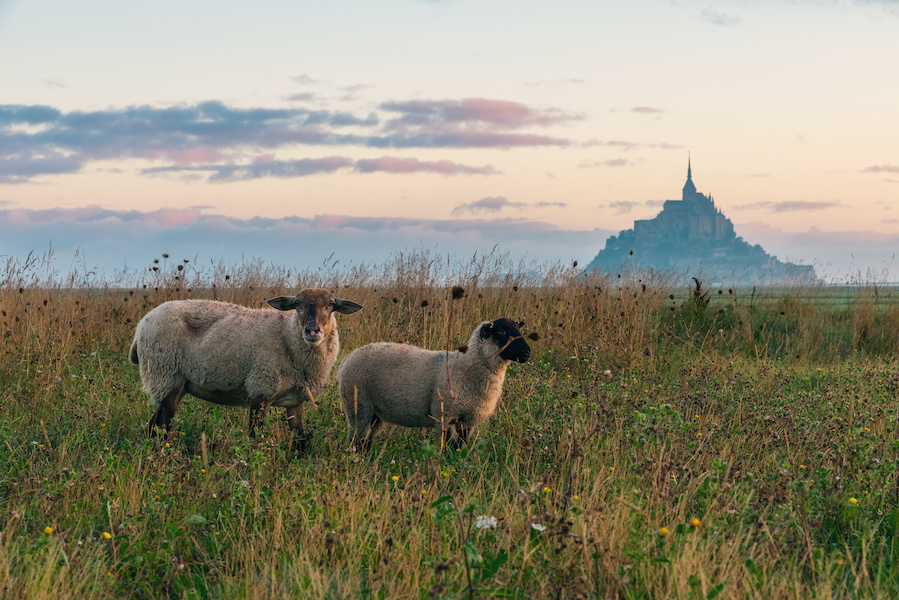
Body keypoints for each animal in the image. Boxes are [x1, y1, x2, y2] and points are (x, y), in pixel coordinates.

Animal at [127, 288, 366, 450]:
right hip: (165, 376)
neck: (287, 336)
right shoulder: (261, 389)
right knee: (160, 428)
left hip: (175, 385)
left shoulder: (295, 401)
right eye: (297, 303)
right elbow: (254, 438)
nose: (312, 331)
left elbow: (299, 440)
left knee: (154, 427)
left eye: (331, 304)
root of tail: (140, 328)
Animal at [340, 318, 536, 450]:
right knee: (357, 441)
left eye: (518, 328)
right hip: (359, 408)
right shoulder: (445, 416)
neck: (468, 365)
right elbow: (449, 446)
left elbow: (460, 447)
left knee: (366, 441)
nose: (527, 352)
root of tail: (346, 360)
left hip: (375, 413)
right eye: (501, 331)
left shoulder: (468, 420)